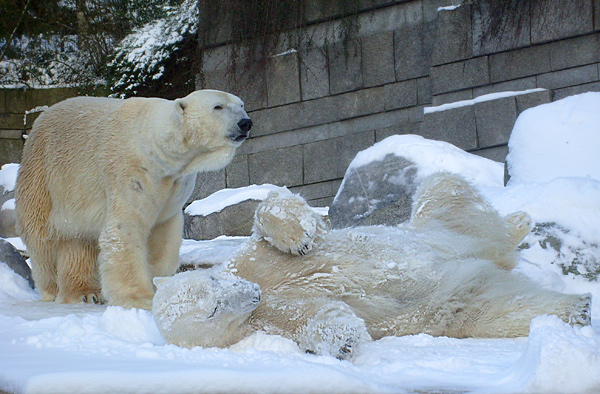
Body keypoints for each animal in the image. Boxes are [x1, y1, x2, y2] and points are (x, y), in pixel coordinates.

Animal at [15, 90, 251, 310]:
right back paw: (55, 289)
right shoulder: (131, 172)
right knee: (43, 238)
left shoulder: (174, 185)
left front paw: (158, 283)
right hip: (44, 176)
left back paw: (86, 293)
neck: (157, 147)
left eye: (241, 105)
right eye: (217, 106)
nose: (245, 123)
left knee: (79, 240)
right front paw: (141, 298)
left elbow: (163, 234)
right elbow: (126, 228)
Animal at [154, 174, 592, 358]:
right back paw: (577, 307)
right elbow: (317, 317)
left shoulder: (253, 261)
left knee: (446, 191)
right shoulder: (267, 320)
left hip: (436, 223)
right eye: (213, 309)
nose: (252, 292)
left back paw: (519, 220)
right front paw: (345, 339)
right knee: (493, 307)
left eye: (214, 283)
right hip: (450, 300)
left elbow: (274, 215)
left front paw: (299, 236)